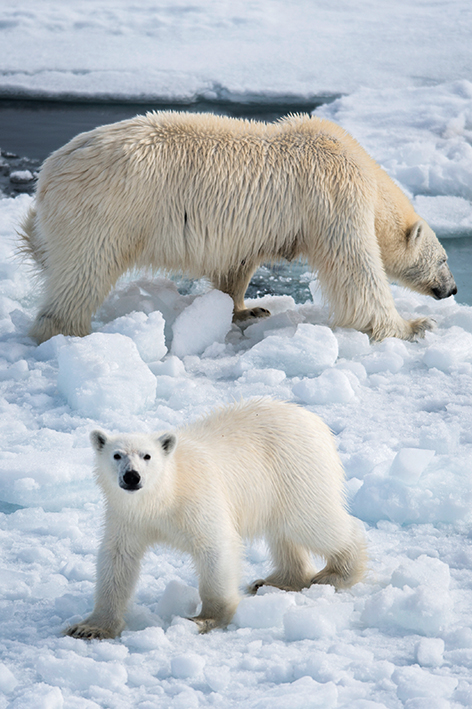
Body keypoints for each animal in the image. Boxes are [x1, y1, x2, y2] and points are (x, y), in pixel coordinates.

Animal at [19, 111, 456, 344]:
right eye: (444, 260)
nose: (452, 289)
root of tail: (49, 173)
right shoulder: (333, 197)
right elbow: (357, 270)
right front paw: (415, 325)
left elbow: (236, 267)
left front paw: (247, 310)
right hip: (104, 212)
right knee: (85, 272)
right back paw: (67, 332)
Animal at [64, 398, 366, 639]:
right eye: (117, 455)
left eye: (147, 456)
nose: (131, 477)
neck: (164, 496)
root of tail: (313, 419)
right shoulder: (127, 517)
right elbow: (117, 560)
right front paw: (89, 628)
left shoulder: (197, 502)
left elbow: (215, 548)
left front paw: (204, 619)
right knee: (283, 531)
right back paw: (276, 581)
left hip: (295, 470)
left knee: (312, 522)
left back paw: (337, 573)